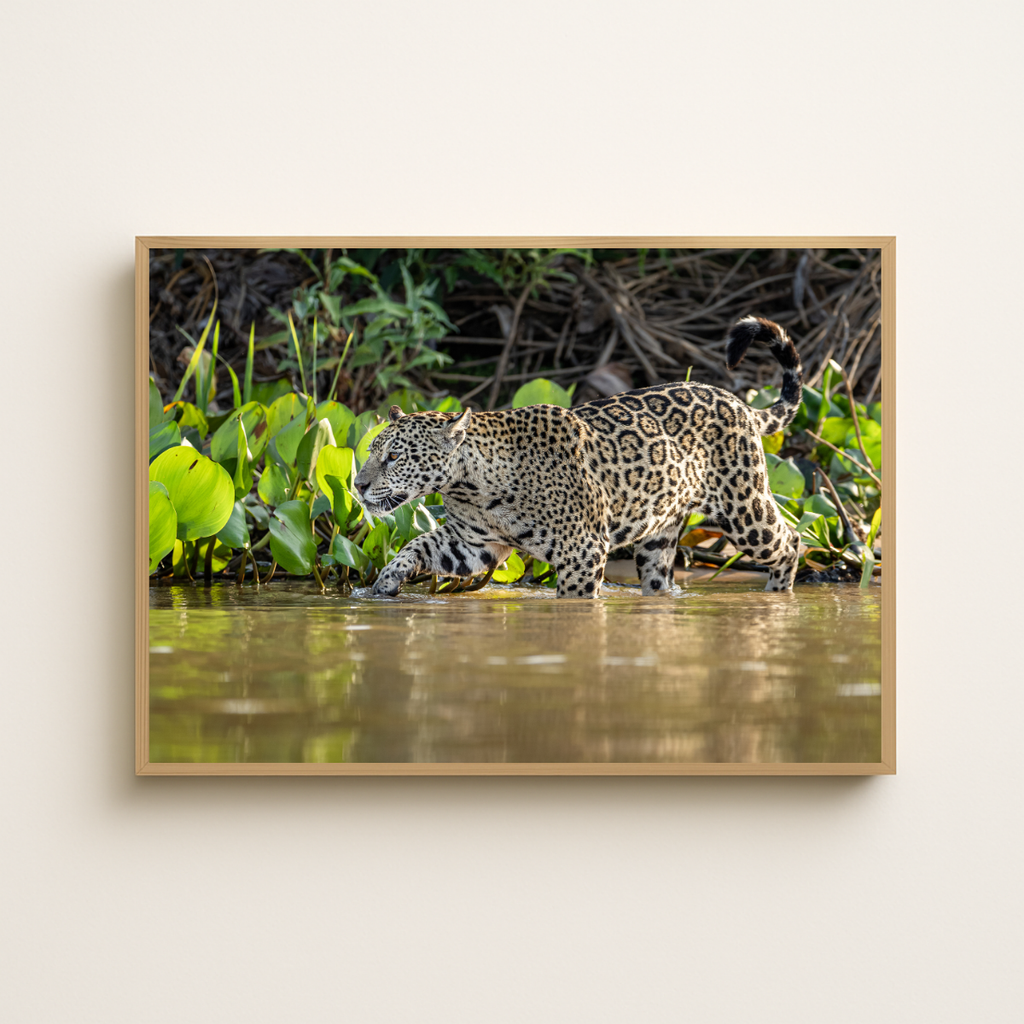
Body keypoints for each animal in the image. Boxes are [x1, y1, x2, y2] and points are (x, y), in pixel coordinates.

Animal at [353, 315, 803, 599]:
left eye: (394, 456)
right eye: (371, 452)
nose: (356, 485)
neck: (472, 487)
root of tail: (738, 401)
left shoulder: (582, 551)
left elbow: (574, 601)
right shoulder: (471, 544)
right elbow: (416, 544)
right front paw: (385, 584)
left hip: (744, 510)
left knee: (791, 541)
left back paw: (778, 596)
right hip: (658, 535)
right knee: (660, 577)